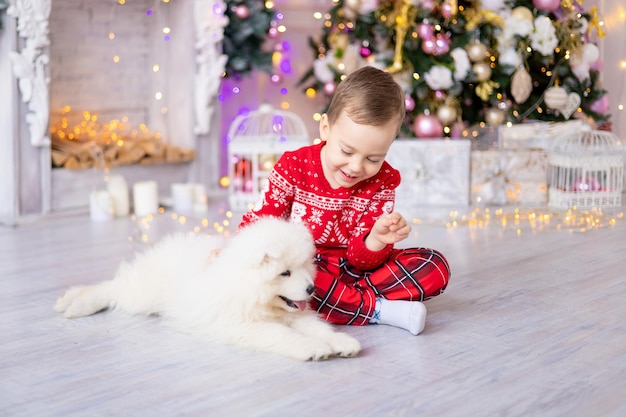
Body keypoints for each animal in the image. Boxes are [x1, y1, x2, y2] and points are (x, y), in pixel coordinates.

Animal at [53, 216, 360, 360]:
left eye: (305, 265)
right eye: (284, 272)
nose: (310, 289)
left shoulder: (295, 314)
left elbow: (318, 327)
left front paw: (341, 342)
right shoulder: (242, 324)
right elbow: (281, 335)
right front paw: (312, 348)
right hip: (144, 293)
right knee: (112, 288)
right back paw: (75, 302)